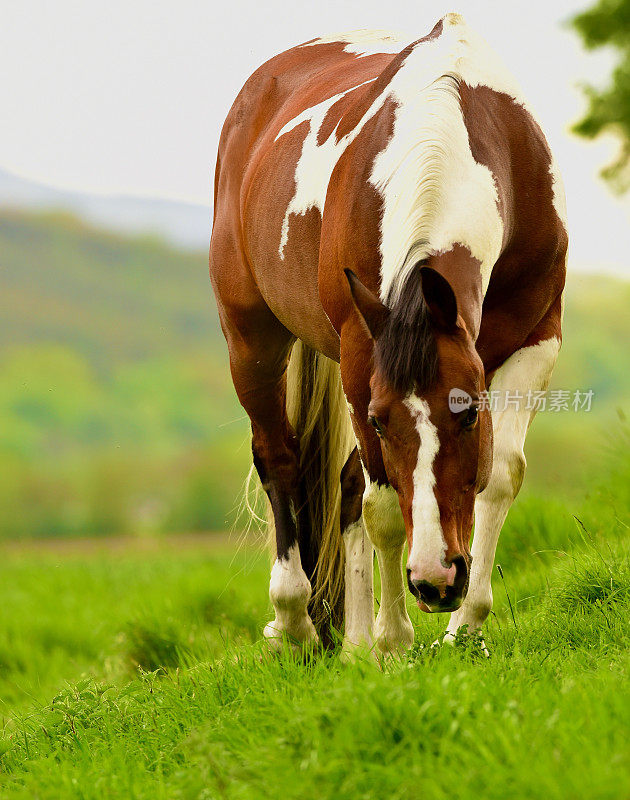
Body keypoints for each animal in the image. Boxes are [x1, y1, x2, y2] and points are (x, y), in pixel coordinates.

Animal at [210, 14, 572, 656]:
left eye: (469, 415)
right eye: (382, 421)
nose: (435, 580)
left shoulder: (537, 335)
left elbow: (500, 476)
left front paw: (465, 628)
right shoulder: (361, 361)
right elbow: (380, 505)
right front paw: (395, 638)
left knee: (344, 484)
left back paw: (353, 642)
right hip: (251, 338)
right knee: (280, 459)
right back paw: (295, 621)